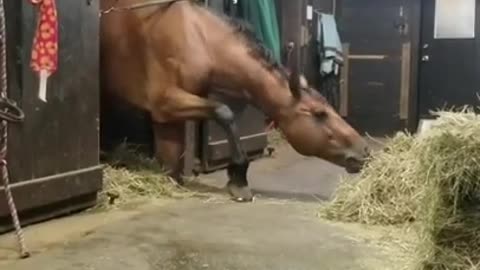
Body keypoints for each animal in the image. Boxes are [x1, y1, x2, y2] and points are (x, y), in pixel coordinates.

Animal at [99, 0, 370, 202]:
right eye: (319, 113)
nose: (364, 150)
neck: (196, 37)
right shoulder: (166, 101)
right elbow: (224, 112)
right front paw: (238, 179)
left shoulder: (166, 115)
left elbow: (169, 157)